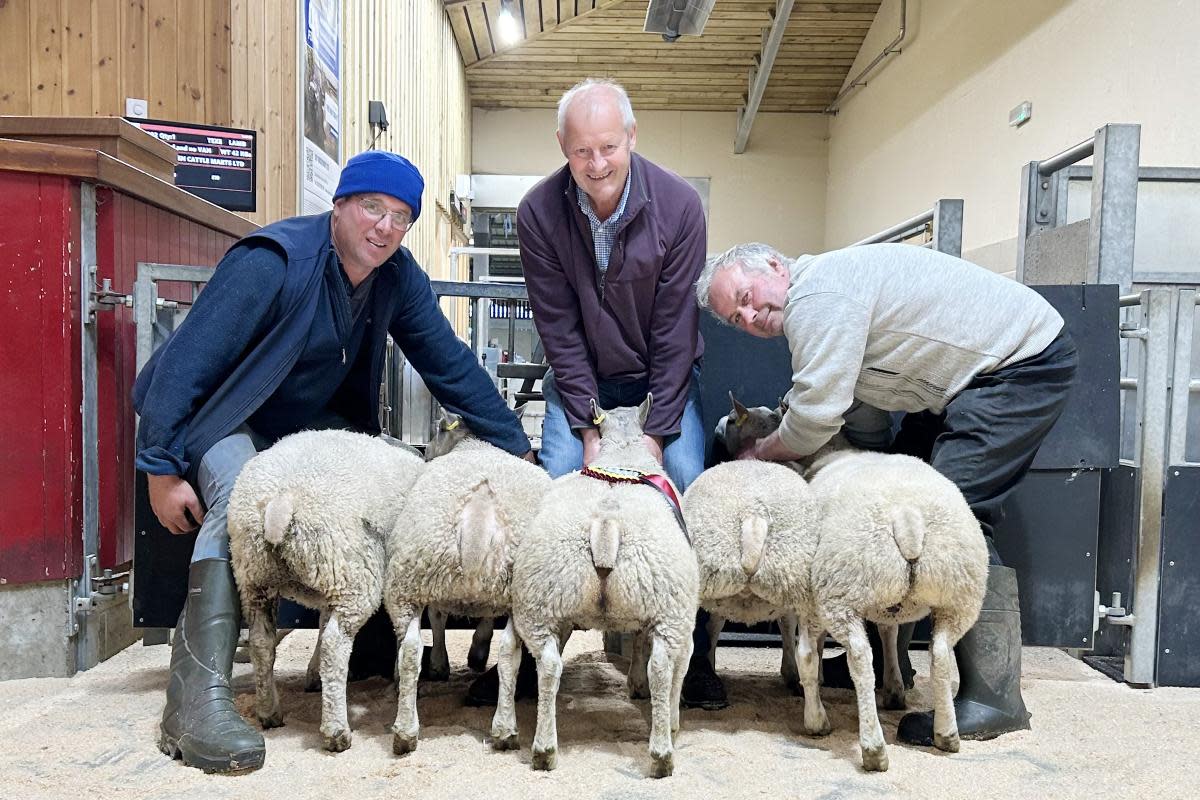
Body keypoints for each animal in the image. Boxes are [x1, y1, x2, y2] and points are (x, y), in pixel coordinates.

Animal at [226, 431, 429, 753]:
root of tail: (281, 502)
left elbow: (321, 624)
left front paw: (313, 673)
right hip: (351, 572)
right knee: (336, 644)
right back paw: (337, 731)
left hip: (255, 574)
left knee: (262, 642)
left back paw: (269, 711)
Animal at [384, 412, 549, 758]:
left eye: (435, 431)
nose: (425, 454)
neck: (476, 443)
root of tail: (479, 510)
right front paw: (472, 653)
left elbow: (438, 618)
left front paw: (443, 663)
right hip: (514, 591)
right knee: (506, 654)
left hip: (409, 578)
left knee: (411, 650)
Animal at [501, 398, 700, 777]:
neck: (623, 451)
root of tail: (605, 524)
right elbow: (669, 666)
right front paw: (669, 717)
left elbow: (637, 639)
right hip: (671, 607)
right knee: (662, 668)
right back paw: (662, 752)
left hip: (540, 598)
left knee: (546, 664)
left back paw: (539, 747)